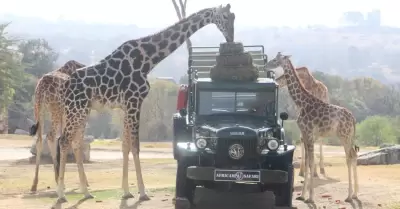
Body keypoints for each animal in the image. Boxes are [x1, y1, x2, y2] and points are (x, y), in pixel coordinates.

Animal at [29, 59, 88, 192]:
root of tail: (42, 87)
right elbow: (73, 142)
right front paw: (85, 182)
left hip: (38, 108)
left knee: (40, 139)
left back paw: (34, 184)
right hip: (55, 109)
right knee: (50, 136)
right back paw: (57, 180)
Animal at [53, 4, 234, 204]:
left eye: (234, 16)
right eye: (226, 17)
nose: (230, 38)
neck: (148, 59)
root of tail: (66, 86)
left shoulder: (127, 105)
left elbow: (125, 145)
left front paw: (126, 191)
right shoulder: (134, 101)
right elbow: (135, 146)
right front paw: (142, 192)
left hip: (82, 110)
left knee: (76, 143)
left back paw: (86, 192)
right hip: (75, 109)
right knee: (63, 140)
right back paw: (61, 194)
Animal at [268, 53, 360, 203]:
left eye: (276, 59)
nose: (266, 65)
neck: (302, 102)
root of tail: (353, 119)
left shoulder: (309, 132)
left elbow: (310, 162)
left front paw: (310, 197)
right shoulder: (305, 134)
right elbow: (307, 162)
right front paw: (302, 195)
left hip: (344, 136)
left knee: (349, 157)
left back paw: (349, 196)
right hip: (349, 136)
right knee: (353, 155)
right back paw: (355, 194)